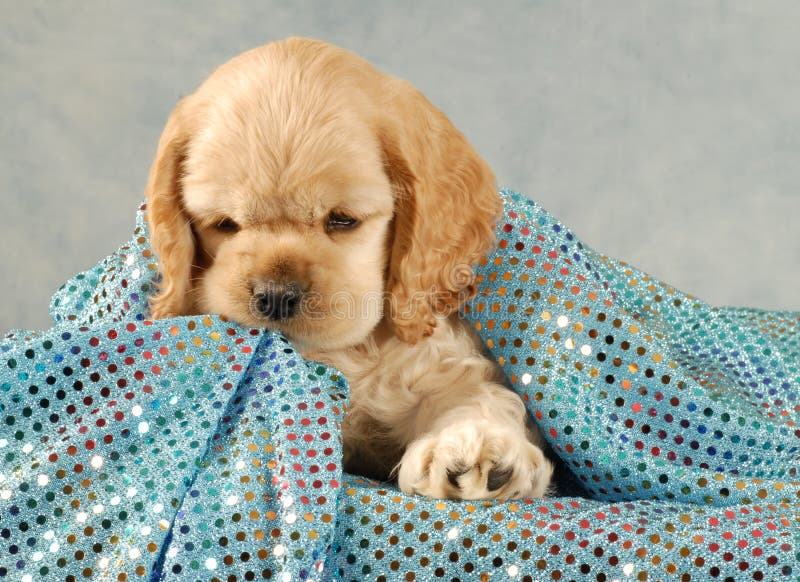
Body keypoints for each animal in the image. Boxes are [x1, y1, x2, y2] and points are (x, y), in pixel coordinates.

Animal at [145, 37, 552, 502]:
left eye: (342, 220)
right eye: (225, 224)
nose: (275, 296)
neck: (346, 352)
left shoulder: (440, 359)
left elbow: (477, 394)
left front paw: (475, 446)